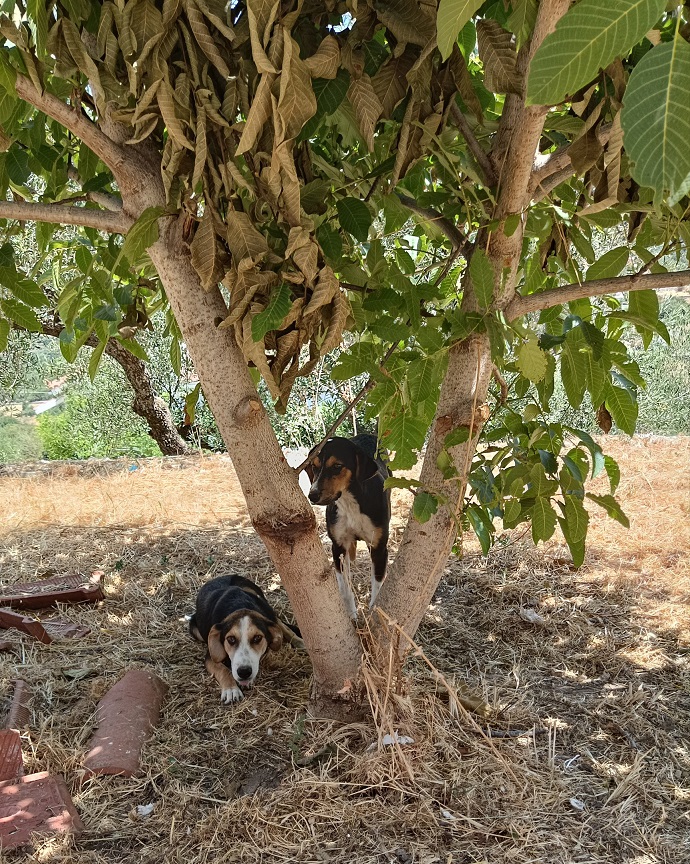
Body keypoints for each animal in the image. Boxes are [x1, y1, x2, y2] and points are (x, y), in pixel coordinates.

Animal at [191, 572, 304, 704]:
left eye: (257, 638)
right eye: (231, 639)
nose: (244, 672)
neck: (239, 604)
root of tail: (221, 577)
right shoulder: (211, 656)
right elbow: (223, 669)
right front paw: (231, 689)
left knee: (280, 624)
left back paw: (300, 642)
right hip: (194, 629)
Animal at [306, 436, 390, 616]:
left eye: (337, 466)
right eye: (314, 466)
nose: (312, 495)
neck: (350, 502)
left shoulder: (379, 548)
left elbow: (377, 587)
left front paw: (372, 614)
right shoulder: (337, 546)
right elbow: (345, 587)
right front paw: (351, 613)